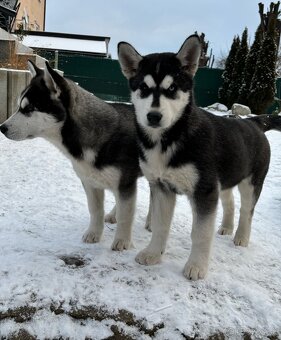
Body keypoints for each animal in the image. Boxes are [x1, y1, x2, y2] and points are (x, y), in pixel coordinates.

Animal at [0, 61, 140, 250]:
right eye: (18, 107)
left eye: (28, 109)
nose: (2, 128)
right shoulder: (90, 182)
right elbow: (95, 209)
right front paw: (94, 233)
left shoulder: (125, 183)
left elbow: (126, 216)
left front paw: (122, 241)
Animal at [117, 34, 281, 280]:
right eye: (143, 88)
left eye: (172, 88)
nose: (154, 116)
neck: (169, 139)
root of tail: (253, 122)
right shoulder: (162, 187)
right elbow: (160, 225)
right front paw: (153, 254)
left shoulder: (204, 191)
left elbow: (201, 233)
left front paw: (197, 267)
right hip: (225, 179)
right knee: (230, 203)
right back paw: (226, 227)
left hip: (251, 182)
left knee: (247, 210)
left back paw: (241, 237)